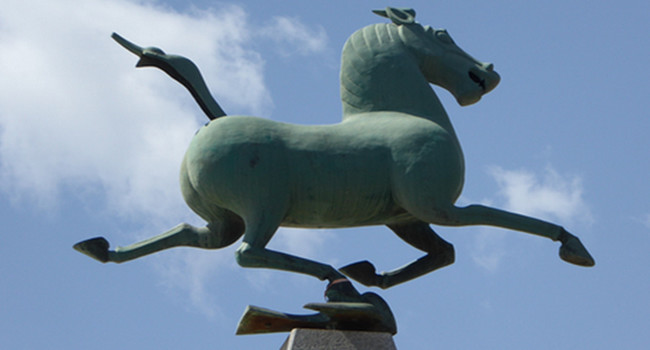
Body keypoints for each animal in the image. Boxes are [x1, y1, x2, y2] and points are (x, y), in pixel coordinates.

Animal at [74, 7, 592, 298]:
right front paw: (574, 246)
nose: (488, 74)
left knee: (192, 235)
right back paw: (328, 273)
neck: (399, 110)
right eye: (442, 34)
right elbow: (501, 216)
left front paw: (372, 273)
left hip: (225, 218)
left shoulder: (405, 218)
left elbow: (445, 254)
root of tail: (210, 126)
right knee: (248, 254)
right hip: (263, 208)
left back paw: (101, 249)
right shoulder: (438, 207)